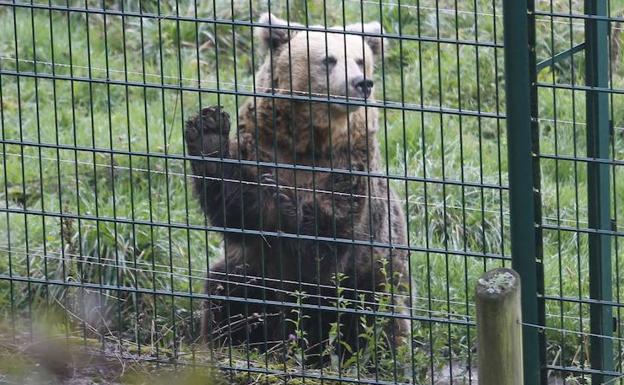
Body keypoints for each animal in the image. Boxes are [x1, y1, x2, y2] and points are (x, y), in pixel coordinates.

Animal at [185, 12, 410, 364]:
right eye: (329, 59)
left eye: (361, 60)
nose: (361, 83)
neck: (310, 141)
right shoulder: (262, 147)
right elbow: (233, 200)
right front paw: (209, 134)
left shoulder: (349, 169)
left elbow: (325, 237)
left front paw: (284, 202)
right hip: (253, 274)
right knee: (228, 294)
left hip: (371, 277)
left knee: (371, 317)